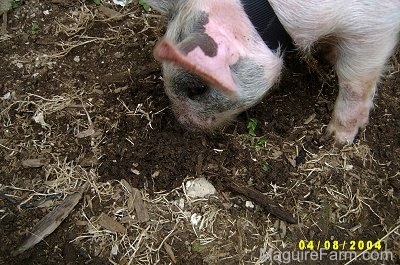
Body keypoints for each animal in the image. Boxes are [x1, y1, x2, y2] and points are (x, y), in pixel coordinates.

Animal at [146, 0, 400, 143]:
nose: (182, 124)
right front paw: (327, 56)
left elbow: (355, 82)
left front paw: (336, 139)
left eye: (197, 89)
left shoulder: (373, 31)